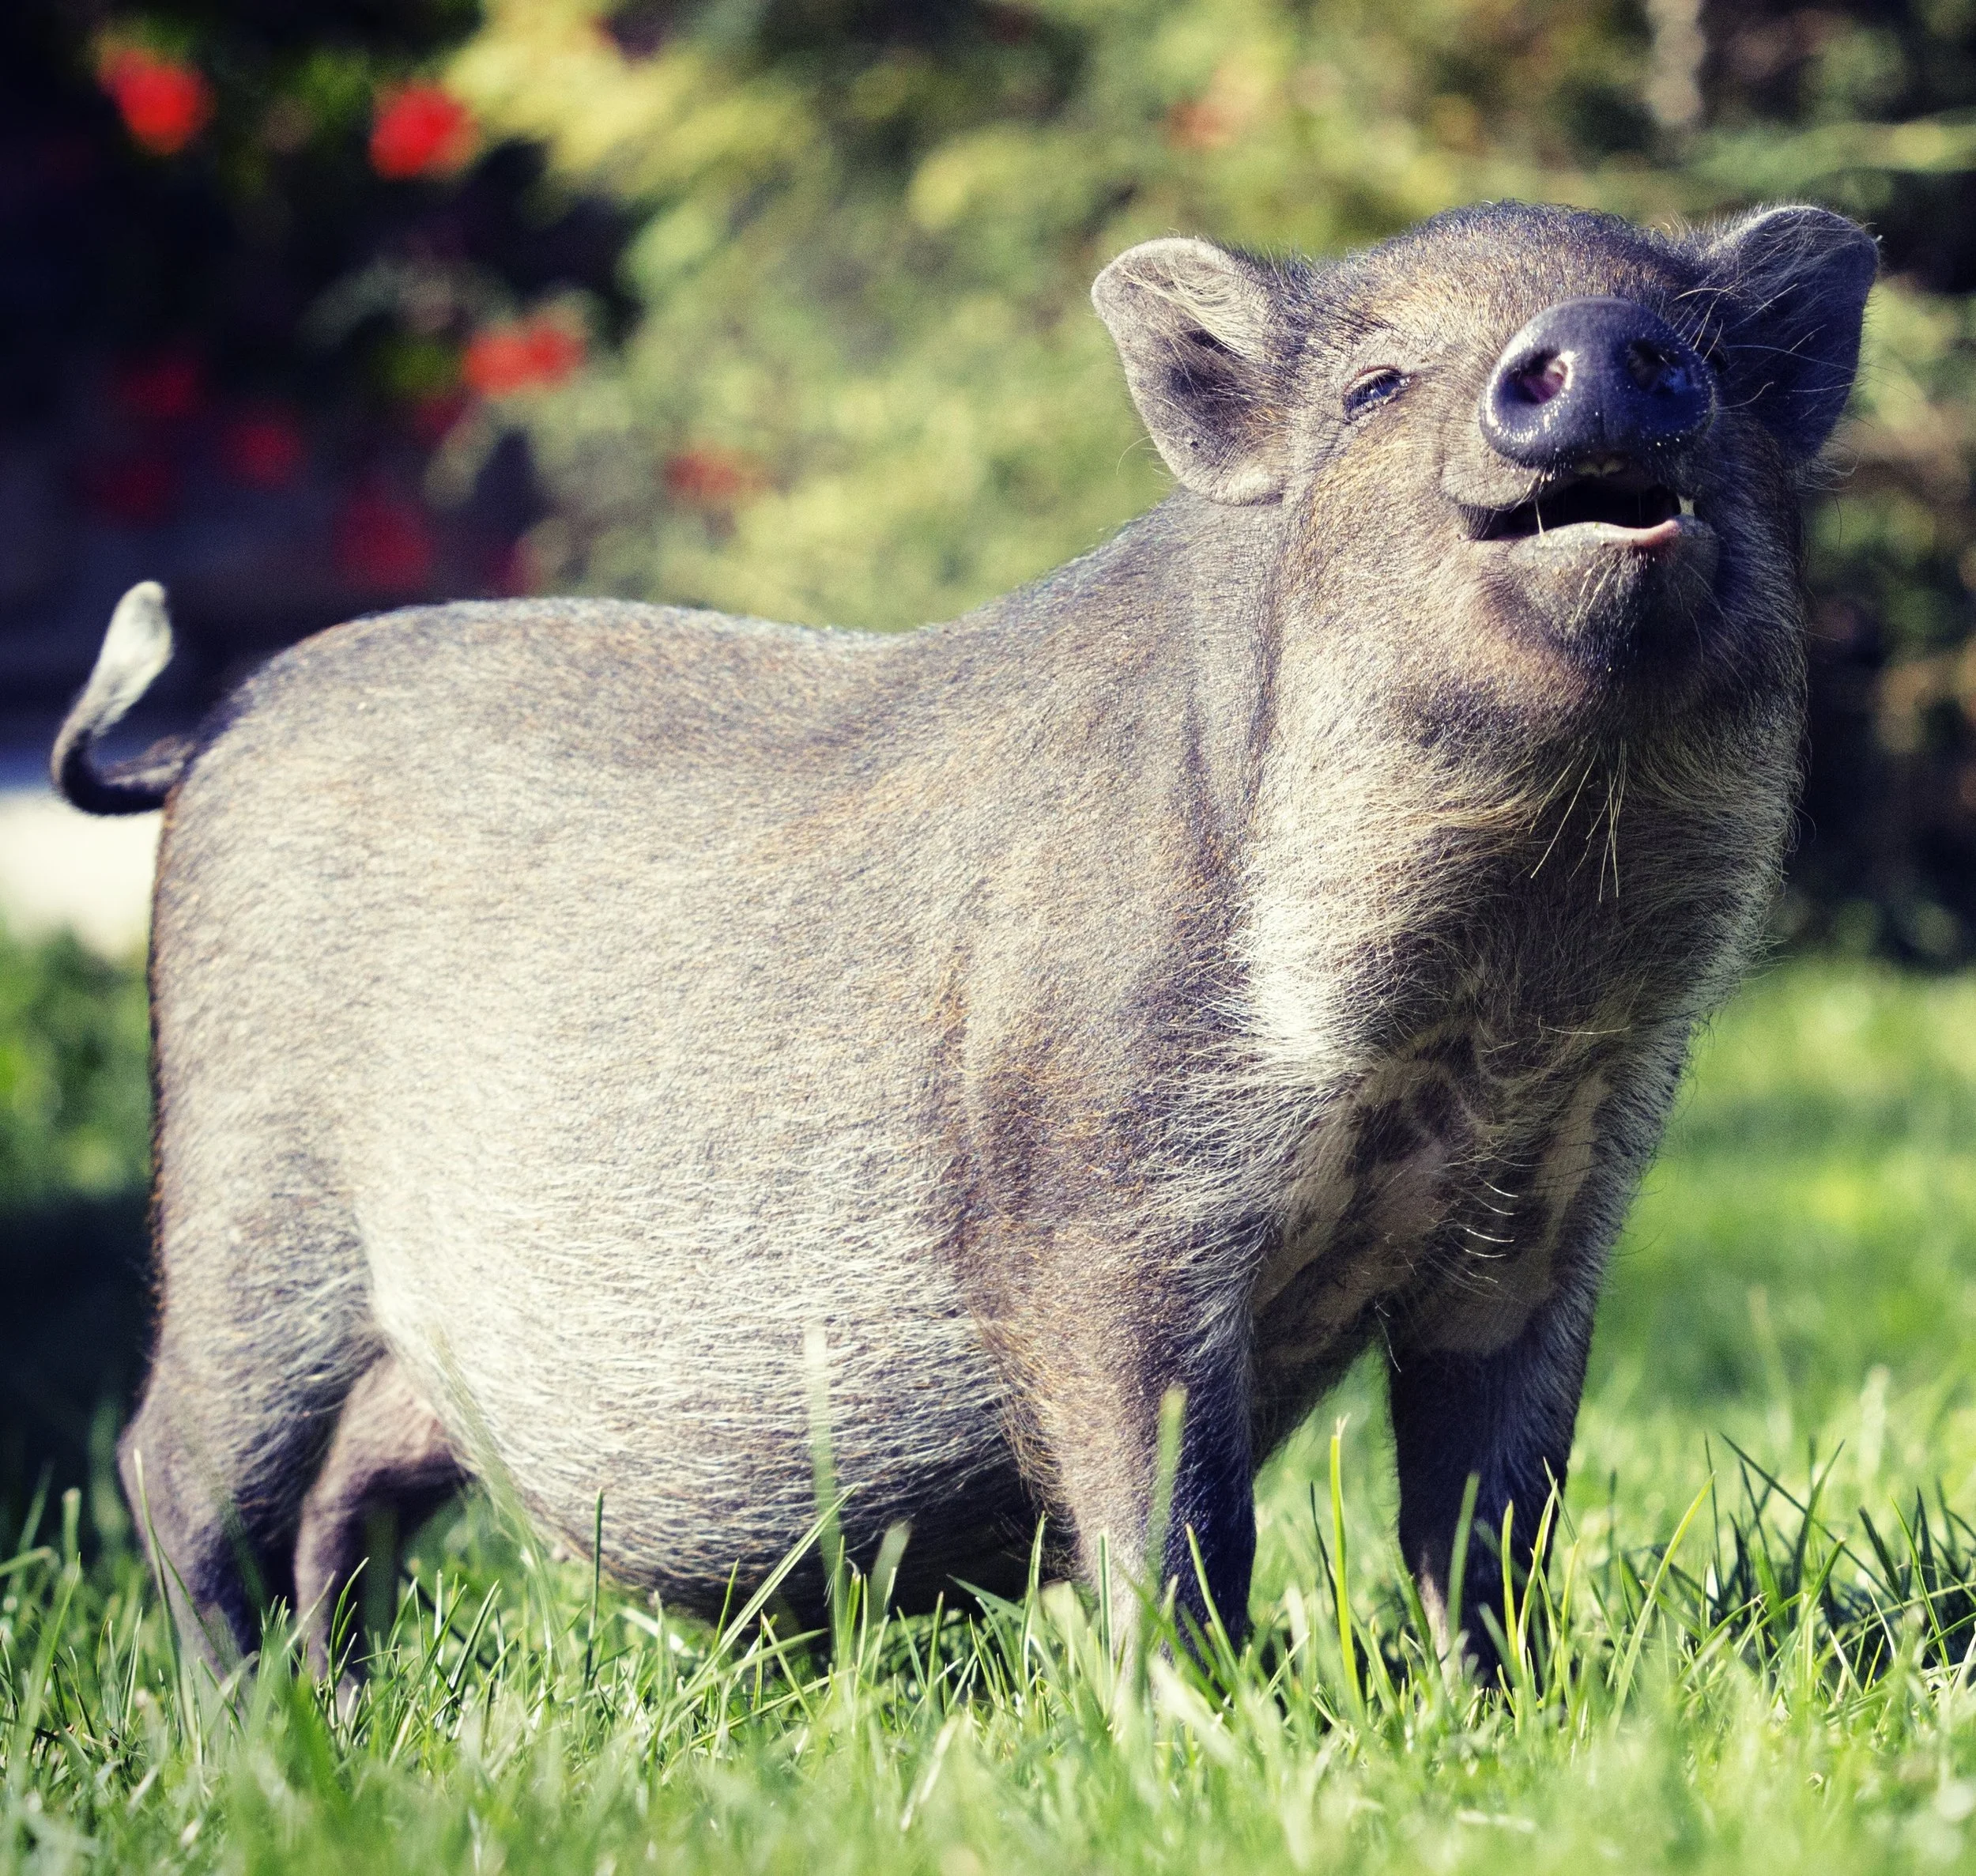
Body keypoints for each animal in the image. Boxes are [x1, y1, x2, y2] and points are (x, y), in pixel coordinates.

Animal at [54, 200, 1874, 1678]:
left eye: (1707, 352)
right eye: (1373, 385)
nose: (1598, 345)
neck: (1489, 998)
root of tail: (215, 727)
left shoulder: (1547, 1213)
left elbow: (1487, 1522)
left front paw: (1496, 1713)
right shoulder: (1094, 1210)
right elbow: (1173, 1521)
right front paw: (1205, 1727)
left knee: (343, 1502)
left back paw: (342, 1713)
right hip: (248, 1191)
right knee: (176, 1466)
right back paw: (256, 1738)